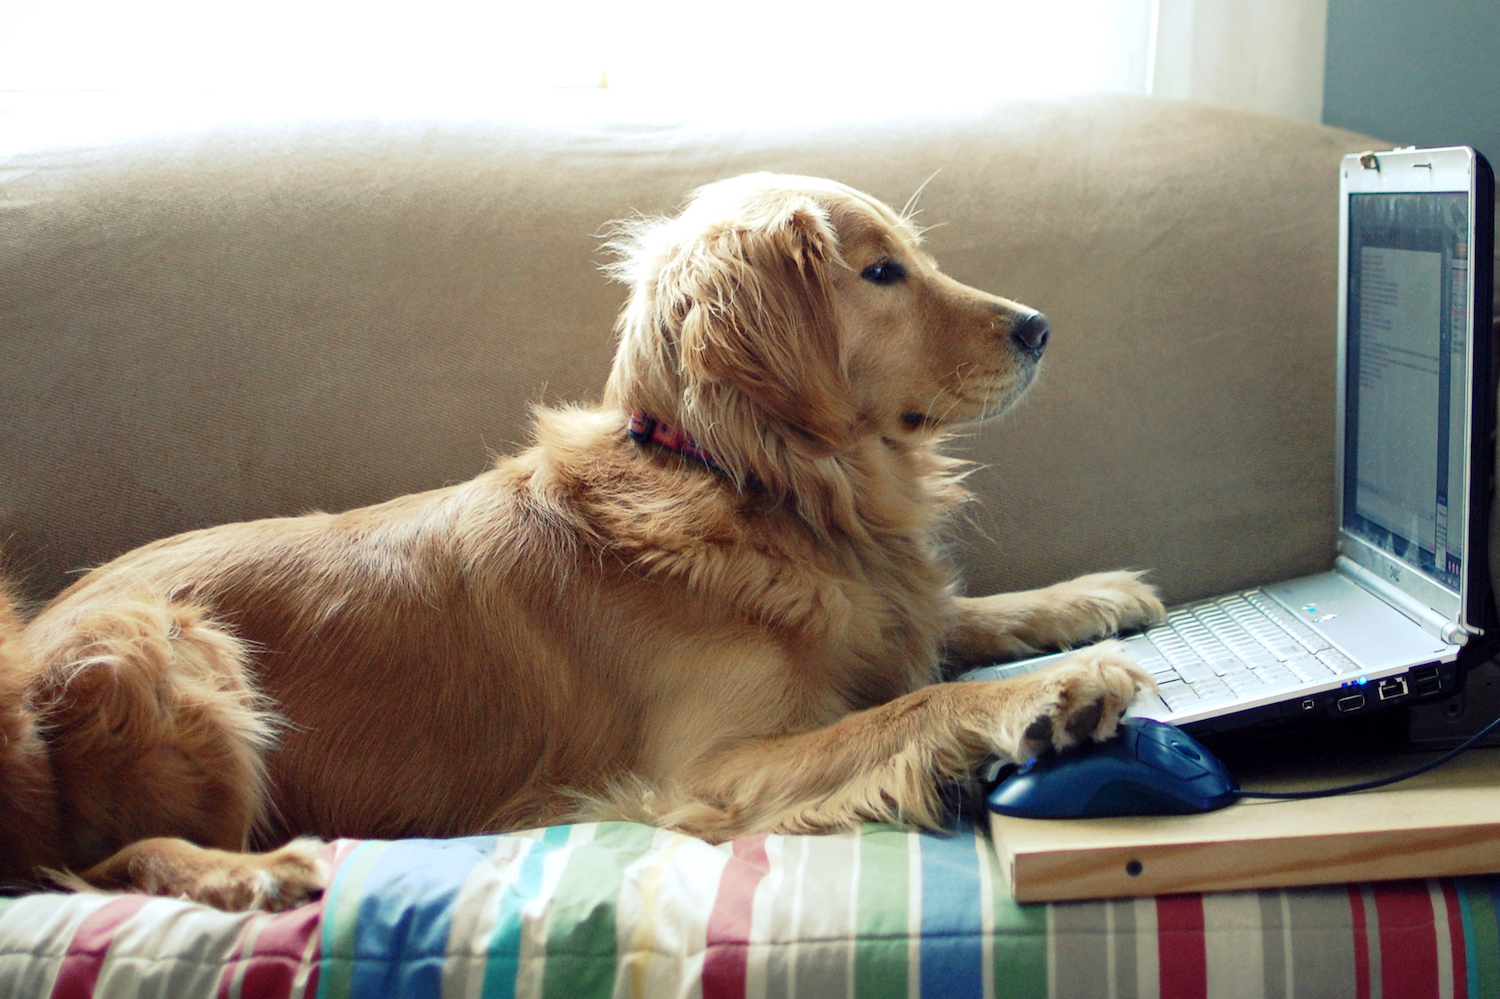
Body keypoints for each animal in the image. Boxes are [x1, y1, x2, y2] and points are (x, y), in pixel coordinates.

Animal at [0, 174, 1158, 906]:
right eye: (881, 274)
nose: (1041, 326)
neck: (744, 482)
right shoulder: (717, 765)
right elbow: (913, 703)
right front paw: (1053, 691)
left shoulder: (883, 611)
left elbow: (954, 616)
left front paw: (1090, 596)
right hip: (164, 648)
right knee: (81, 868)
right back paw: (247, 871)